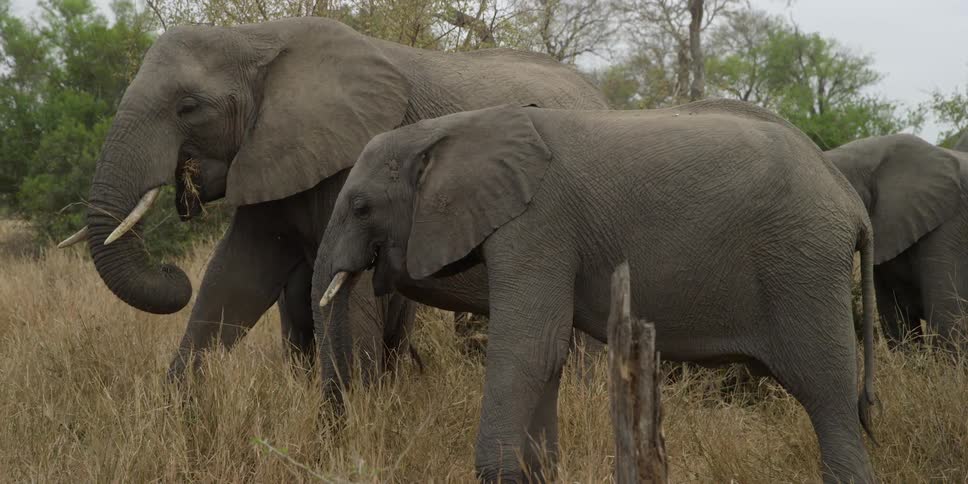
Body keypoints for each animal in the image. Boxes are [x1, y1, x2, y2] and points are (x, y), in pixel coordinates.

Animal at [67, 17, 608, 382]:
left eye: (188, 107)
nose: (171, 271)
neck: (256, 39)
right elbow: (234, 275)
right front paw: (182, 418)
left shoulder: (359, 155)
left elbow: (341, 280)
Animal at [315, 99, 878, 483]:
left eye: (361, 207)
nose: (343, 444)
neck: (450, 129)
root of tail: (851, 202)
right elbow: (547, 354)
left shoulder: (537, 224)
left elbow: (530, 347)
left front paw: (497, 475)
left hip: (804, 266)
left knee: (827, 394)